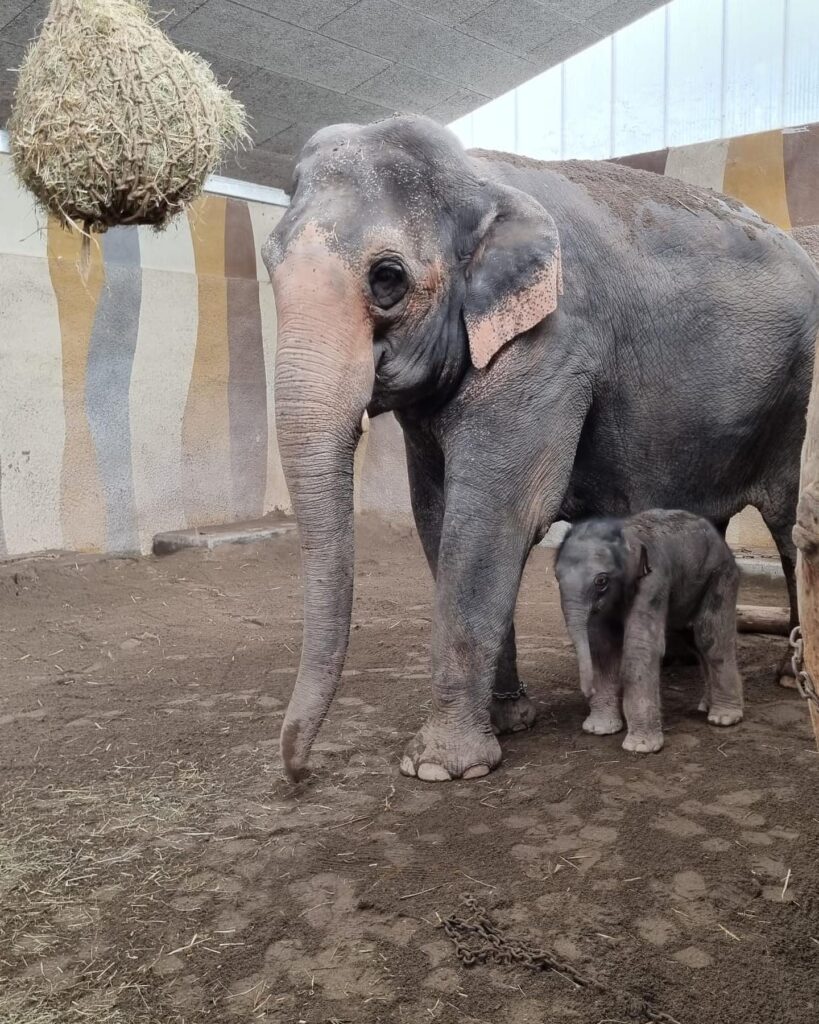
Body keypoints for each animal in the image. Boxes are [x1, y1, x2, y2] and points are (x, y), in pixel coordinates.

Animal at [556, 509, 741, 753]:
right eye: (556, 577)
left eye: (601, 581)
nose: (588, 691)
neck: (626, 531)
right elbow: (603, 645)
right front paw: (599, 729)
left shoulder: (654, 580)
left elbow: (640, 645)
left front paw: (641, 747)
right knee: (692, 638)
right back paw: (706, 706)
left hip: (720, 575)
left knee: (710, 636)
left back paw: (724, 717)